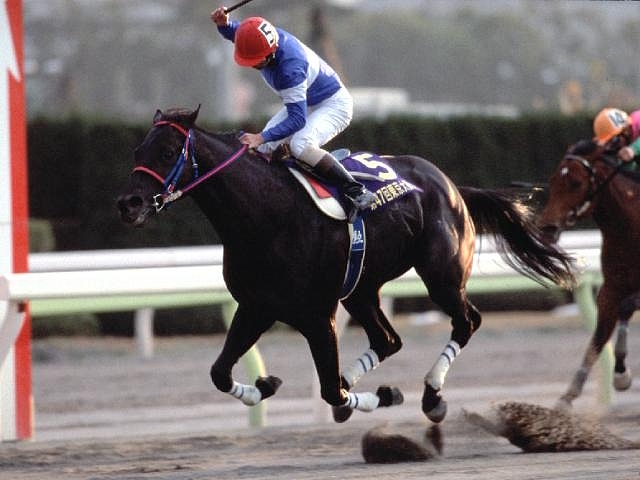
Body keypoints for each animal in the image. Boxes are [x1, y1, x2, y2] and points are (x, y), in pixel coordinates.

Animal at [116, 107, 576, 422]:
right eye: (138, 149)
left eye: (169, 151)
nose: (129, 204)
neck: (266, 216)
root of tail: (450, 184)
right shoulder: (256, 307)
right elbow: (219, 373)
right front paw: (265, 383)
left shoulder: (318, 316)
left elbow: (328, 392)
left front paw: (380, 395)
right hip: (361, 289)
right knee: (388, 340)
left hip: (441, 276)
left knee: (466, 322)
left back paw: (431, 396)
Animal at [536, 139, 636, 408]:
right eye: (551, 180)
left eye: (576, 183)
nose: (546, 228)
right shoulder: (611, 287)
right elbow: (598, 338)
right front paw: (568, 396)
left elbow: (626, 308)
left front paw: (621, 375)